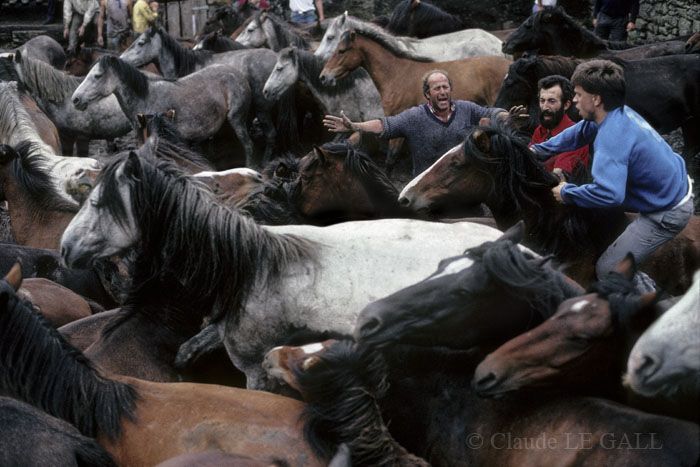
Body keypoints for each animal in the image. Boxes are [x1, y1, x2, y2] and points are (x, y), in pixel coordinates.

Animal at [72, 55, 256, 167]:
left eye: (97, 75)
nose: (75, 99)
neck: (146, 98)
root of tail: (238, 74)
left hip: (237, 120)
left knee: (248, 145)